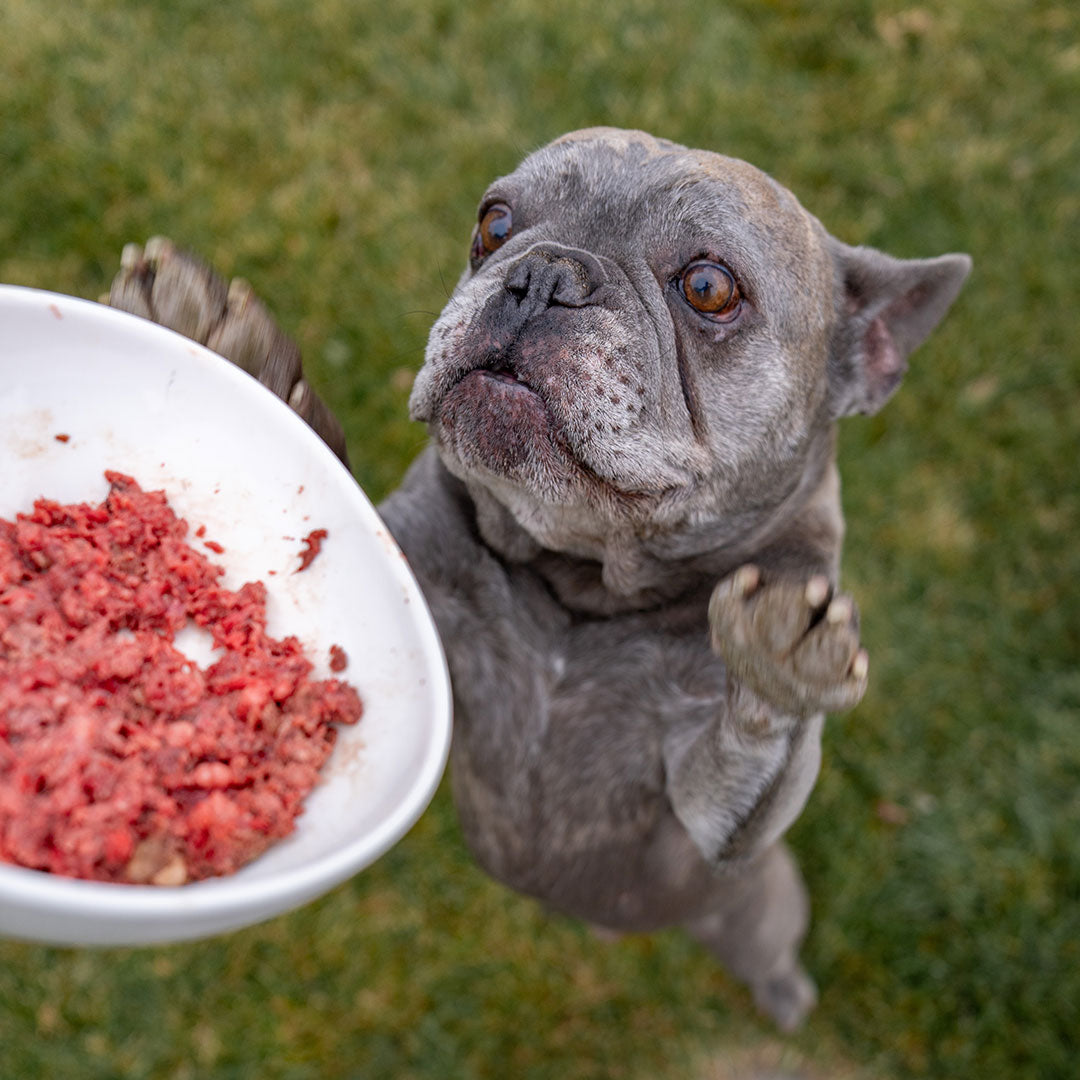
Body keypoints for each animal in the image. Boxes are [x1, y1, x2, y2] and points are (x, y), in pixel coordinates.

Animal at [107, 128, 972, 1028]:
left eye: (709, 287)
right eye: (494, 224)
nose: (544, 274)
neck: (579, 581)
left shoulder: (713, 817)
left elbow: (750, 742)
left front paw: (774, 663)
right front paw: (220, 345)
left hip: (756, 904)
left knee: (769, 948)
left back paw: (785, 994)